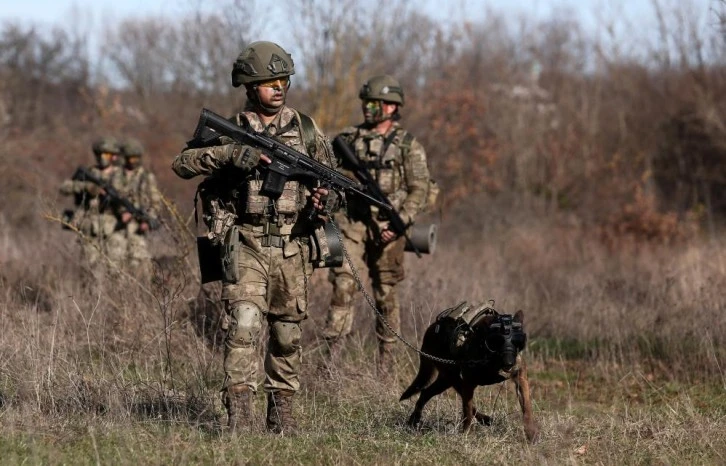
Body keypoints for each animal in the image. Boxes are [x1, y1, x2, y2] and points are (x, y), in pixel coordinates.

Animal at [400, 300, 536, 442]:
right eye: (497, 341)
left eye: (518, 340)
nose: (509, 362)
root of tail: (430, 330)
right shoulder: (468, 382)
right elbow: (467, 410)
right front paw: (465, 433)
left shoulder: (521, 377)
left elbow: (527, 406)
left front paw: (531, 433)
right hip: (452, 378)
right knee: (459, 401)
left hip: (446, 380)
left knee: (425, 393)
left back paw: (414, 420)